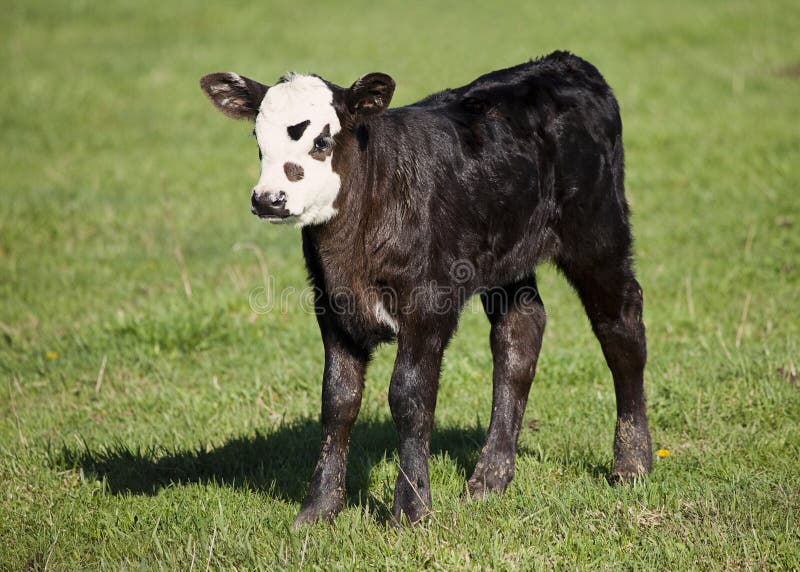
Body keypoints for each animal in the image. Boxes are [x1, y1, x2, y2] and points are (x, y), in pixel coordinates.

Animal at [199, 51, 652, 527]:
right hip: (508, 255)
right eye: (258, 139)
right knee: (519, 335)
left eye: (321, 141)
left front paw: (411, 509)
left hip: (598, 231)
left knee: (621, 328)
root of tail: (565, 62)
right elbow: (338, 400)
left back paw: (631, 463)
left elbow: (409, 396)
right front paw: (319, 508)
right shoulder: (331, 305)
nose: (268, 199)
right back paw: (489, 479)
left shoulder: (429, 304)